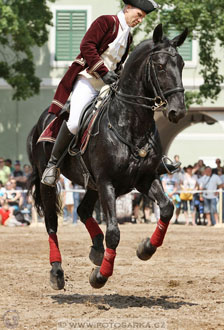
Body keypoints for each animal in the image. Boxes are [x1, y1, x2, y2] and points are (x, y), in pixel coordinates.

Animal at [27, 24, 189, 290]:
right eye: (160, 66)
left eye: (182, 64)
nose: (178, 111)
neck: (130, 124)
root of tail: (41, 122)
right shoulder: (107, 183)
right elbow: (114, 232)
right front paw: (100, 276)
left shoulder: (144, 179)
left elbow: (167, 208)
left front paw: (146, 248)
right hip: (50, 184)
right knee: (51, 224)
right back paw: (57, 272)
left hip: (91, 184)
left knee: (83, 211)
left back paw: (96, 249)